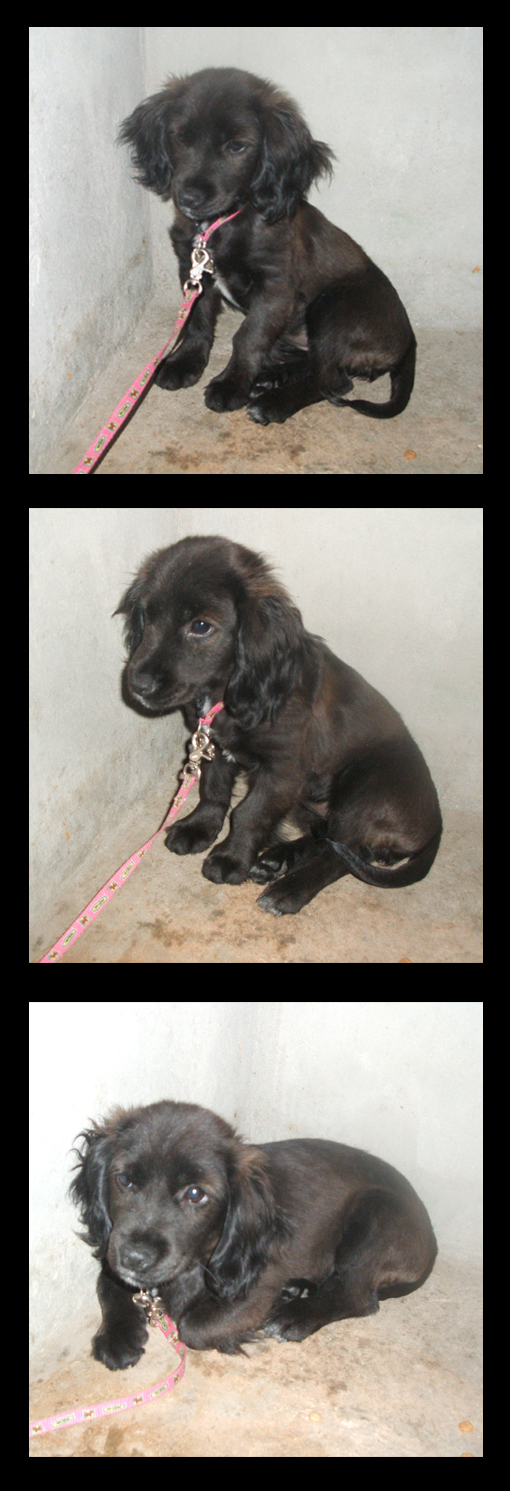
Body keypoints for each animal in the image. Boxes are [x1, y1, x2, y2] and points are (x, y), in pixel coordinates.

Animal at [70, 1100, 437, 1361]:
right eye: (125, 1180)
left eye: (195, 1194)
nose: (135, 1258)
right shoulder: (113, 1255)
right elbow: (107, 1284)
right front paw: (116, 1336)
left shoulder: (256, 1291)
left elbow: (193, 1327)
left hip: (376, 1213)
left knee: (358, 1295)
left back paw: (294, 1314)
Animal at [115, 535, 442, 916]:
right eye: (148, 616)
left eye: (200, 626)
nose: (136, 685)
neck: (227, 692)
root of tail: (435, 824)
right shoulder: (214, 746)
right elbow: (213, 791)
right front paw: (199, 828)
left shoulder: (282, 770)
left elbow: (249, 813)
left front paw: (231, 858)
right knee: (328, 841)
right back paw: (276, 859)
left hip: (365, 788)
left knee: (340, 856)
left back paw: (288, 888)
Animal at [119, 67, 416, 425]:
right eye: (181, 138)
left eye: (236, 146)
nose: (188, 198)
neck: (222, 223)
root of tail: (409, 340)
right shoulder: (193, 270)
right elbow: (197, 322)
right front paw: (185, 362)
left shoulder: (275, 288)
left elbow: (248, 337)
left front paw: (231, 385)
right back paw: (269, 378)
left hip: (334, 307)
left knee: (334, 382)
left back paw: (274, 401)